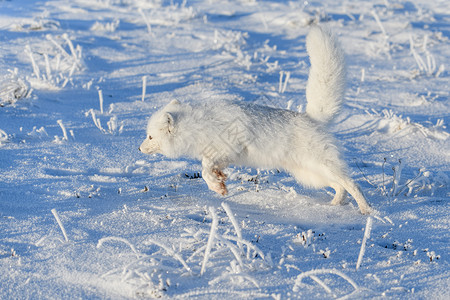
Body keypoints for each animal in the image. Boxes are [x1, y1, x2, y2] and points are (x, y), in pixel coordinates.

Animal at [141, 25, 372, 213]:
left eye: (150, 137)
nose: (139, 148)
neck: (196, 125)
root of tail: (311, 118)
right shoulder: (219, 154)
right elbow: (207, 170)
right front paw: (220, 183)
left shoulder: (228, 147)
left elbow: (205, 169)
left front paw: (218, 185)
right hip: (310, 175)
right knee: (340, 187)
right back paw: (333, 207)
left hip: (323, 166)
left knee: (353, 185)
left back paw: (367, 211)